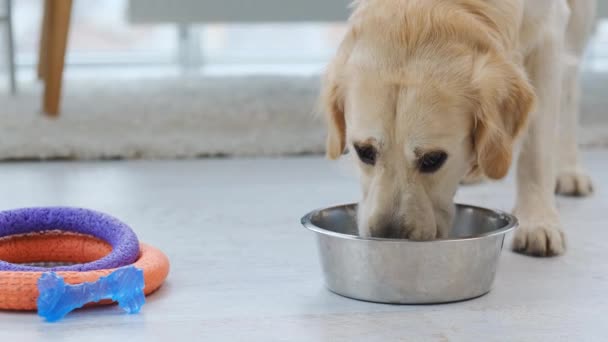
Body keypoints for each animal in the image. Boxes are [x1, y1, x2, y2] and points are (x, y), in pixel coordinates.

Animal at [320, 0, 596, 256]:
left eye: (433, 159)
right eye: (364, 151)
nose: (388, 237)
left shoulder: (549, 32)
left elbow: (536, 152)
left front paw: (538, 222)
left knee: (570, 84)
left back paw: (569, 171)